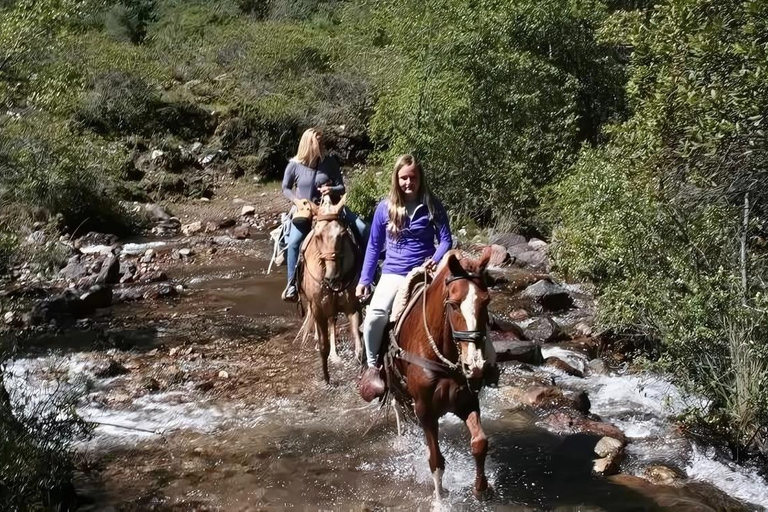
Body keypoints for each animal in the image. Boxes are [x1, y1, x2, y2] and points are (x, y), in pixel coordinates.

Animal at [296, 195, 364, 383]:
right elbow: (323, 346)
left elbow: (359, 345)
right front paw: (326, 379)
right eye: (318, 236)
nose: (331, 277)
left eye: (342, 235)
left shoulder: (352, 307)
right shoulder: (318, 309)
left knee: (333, 321)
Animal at [387, 247, 493, 499]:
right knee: (398, 409)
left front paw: (481, 488)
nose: (475, 365)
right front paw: (440, 500)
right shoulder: (426, 410)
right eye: (453, 304)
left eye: (486, 301)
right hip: (395, 386)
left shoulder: (467, 401)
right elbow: (435, 461)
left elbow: (479, 442)